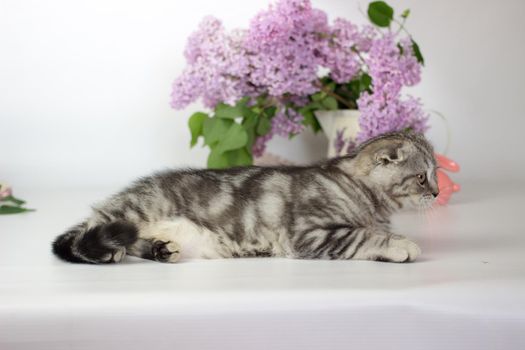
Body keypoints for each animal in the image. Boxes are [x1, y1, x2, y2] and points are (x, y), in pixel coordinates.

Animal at [53, 131, 438, 262]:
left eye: (436, 175)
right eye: (421, 177)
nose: (436, 193)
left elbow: (373, 232)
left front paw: (395, 237)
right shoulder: (310, 233)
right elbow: (362, 237)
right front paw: (400, 245)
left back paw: (160, 249)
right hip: (135, 213)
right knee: (93, 234)